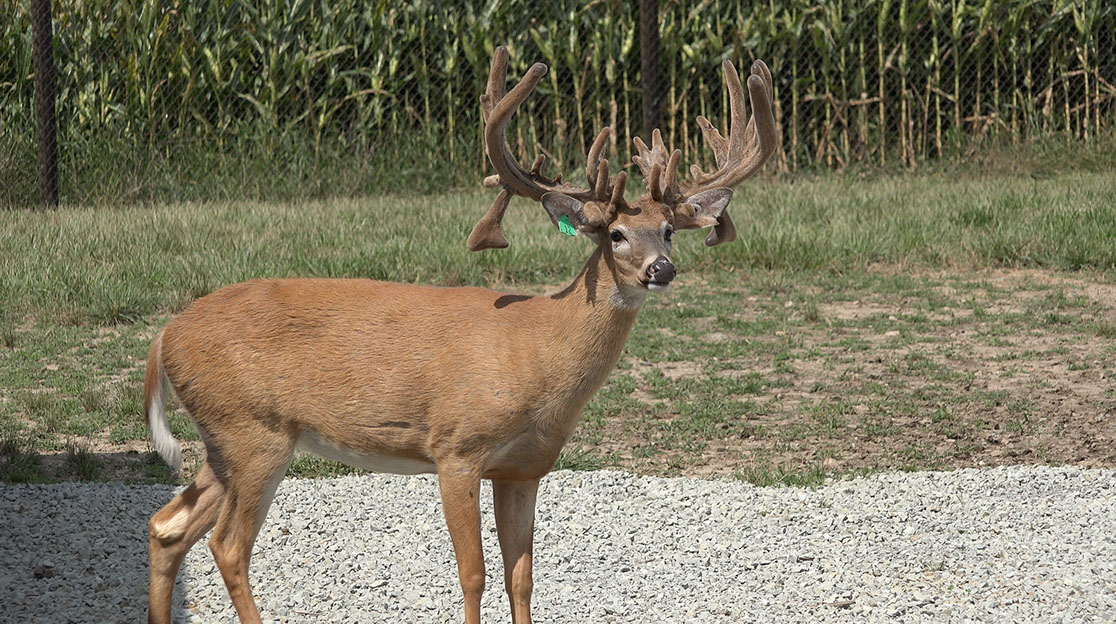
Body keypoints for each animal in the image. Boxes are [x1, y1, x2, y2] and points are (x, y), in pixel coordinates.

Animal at [143, 46, 776, 624]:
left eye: (668, 230)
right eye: (616, 234)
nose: (661, 269)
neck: (537, 354)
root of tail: (165, 335)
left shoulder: (524, 468)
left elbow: (521, 577)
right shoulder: (456, 447)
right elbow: (472, 573)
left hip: (224, 439)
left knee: (167, 525)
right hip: (255, 431)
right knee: (228, 545)